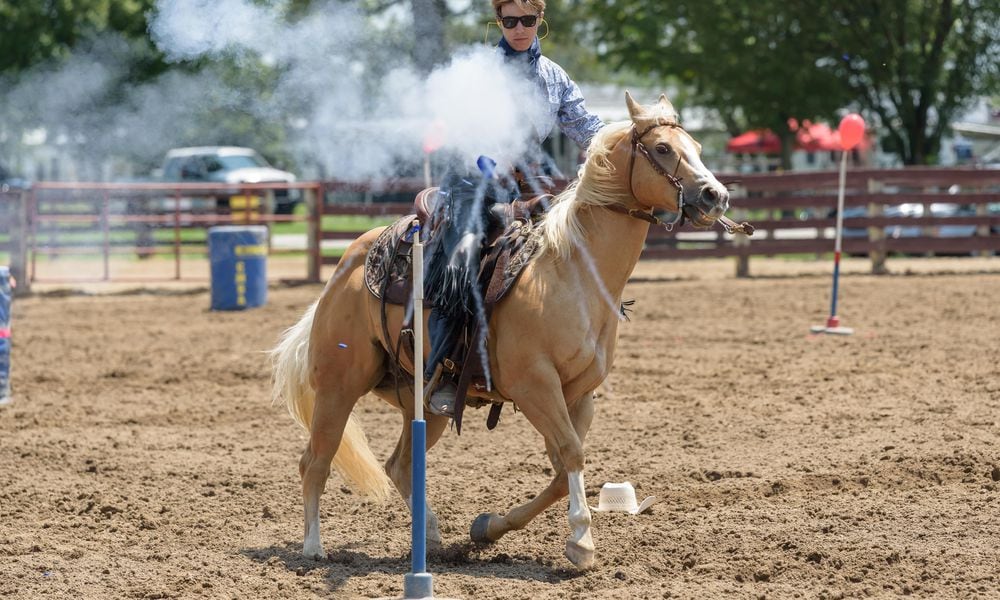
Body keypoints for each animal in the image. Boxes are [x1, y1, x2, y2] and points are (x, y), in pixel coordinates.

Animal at [270, 90, 732, 568]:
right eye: (662, 148)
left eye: (697, 146)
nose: (716, 196)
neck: (571, 273)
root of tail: (347, 264)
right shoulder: (535, 386)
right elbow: (570, 453)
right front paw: (581, 541)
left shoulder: (579, 394)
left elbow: (562, 468)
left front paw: (489, 527)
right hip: (338, 386)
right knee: (315, 461)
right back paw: (313, 547)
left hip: (422, 402)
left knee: (399, 464)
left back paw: (431, 536)